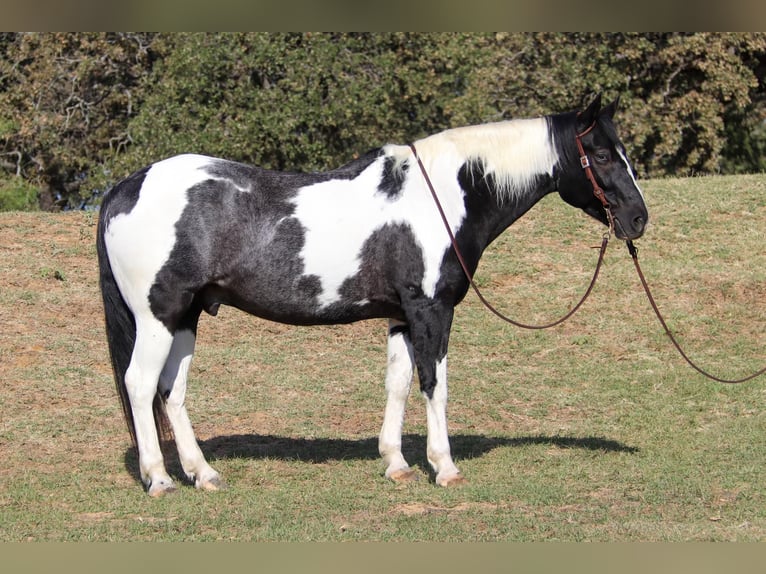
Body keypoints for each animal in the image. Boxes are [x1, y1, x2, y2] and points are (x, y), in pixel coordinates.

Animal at [96, 95, 648, 500]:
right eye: (601, 154)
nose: (639, 218)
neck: (441, 196)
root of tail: (127, 186)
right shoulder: (431, 309)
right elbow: (434, 384)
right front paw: (444, 467)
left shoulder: (402, 316)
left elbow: (398, 384)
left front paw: (397, 463)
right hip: (158, 317)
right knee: (140, 385)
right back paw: (159, 479)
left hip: (186, 316)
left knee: (172, 391)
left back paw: (203, 474)